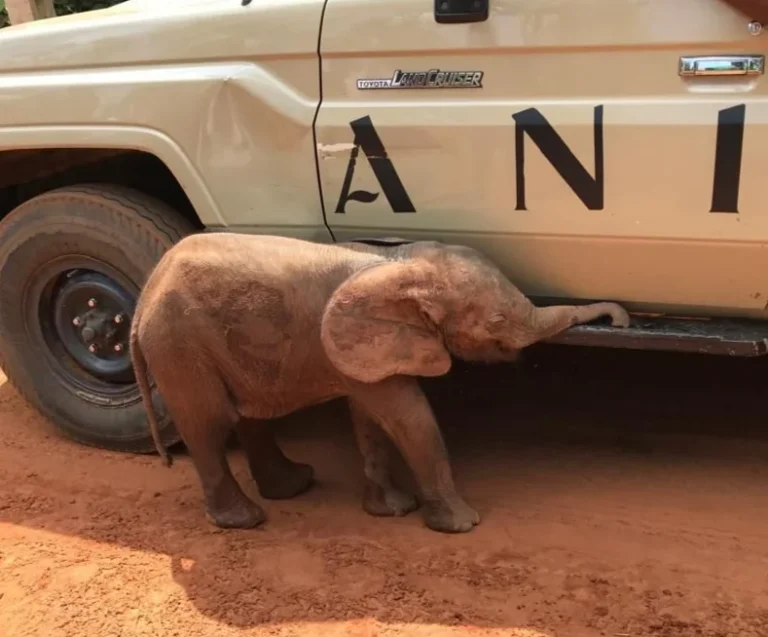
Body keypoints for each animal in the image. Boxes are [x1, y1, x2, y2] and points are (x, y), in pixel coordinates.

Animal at [130, 233, 630, 534]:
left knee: (249, 415)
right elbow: (408, 414)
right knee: (210, 425)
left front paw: (390, 511)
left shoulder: (365, 353)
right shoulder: (356, 345)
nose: (621, 320)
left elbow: (370, 417)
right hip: (178, 343)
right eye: (497, 322)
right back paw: (245, 521)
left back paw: (296, 486)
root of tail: (141, 300)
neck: (399, 262)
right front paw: (462, 526)